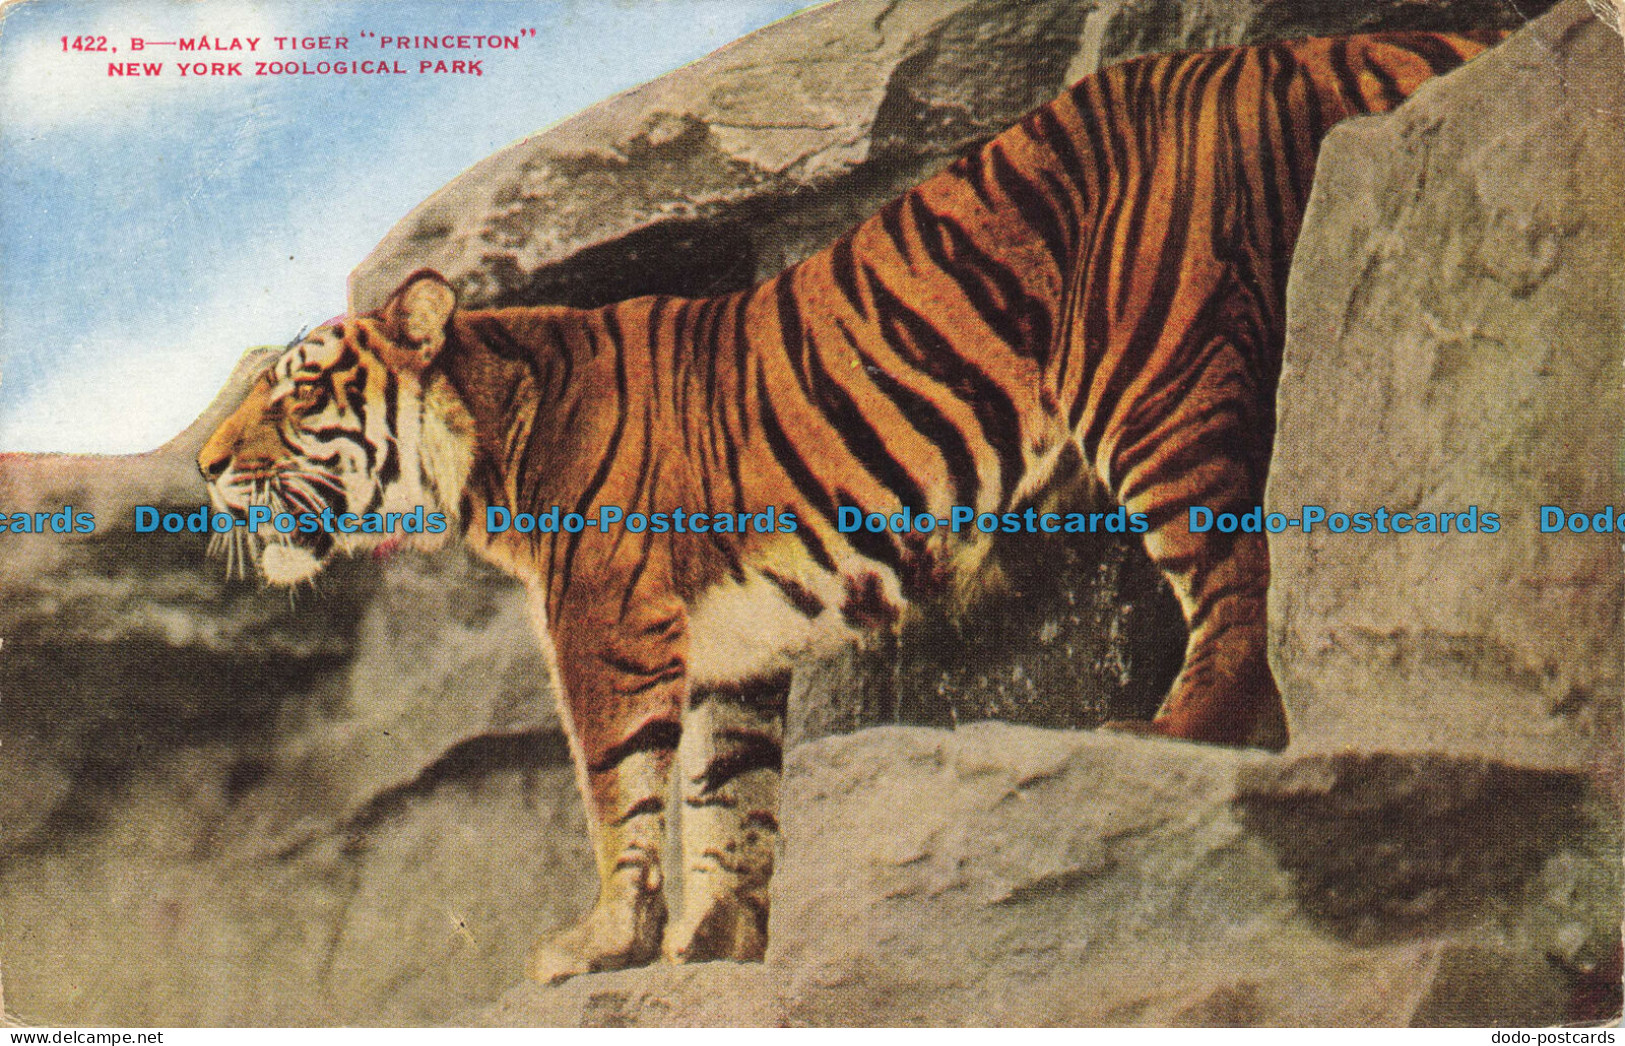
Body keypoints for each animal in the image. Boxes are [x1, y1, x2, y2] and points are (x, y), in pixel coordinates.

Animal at [198, 30, 1504, 982]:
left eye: (296, 389)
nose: (204, 464)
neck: (482, 436)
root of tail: (1274, 49)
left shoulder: (604, 628)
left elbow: (619, 788)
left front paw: (602, 942)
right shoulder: (724, 645)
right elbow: (726, 794)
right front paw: (716, 946)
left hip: (1156, 384)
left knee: (1236, 579)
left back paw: (1174, 731)